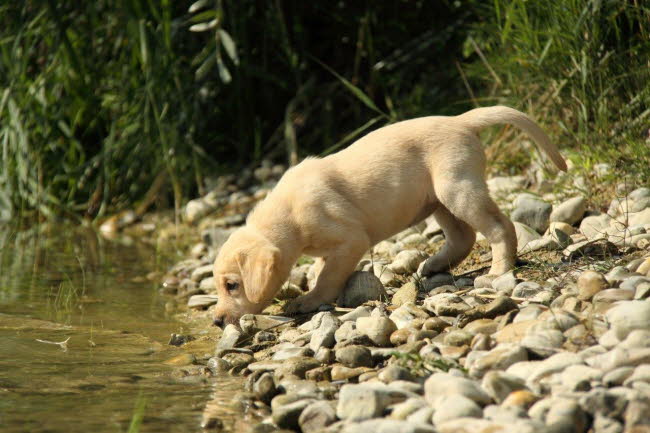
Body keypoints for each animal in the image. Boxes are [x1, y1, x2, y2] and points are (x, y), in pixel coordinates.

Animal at [210, 106, 564, 326]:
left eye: (232, 285)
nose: (216, 321)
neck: (287, 214)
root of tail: (461, 121)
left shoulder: (350, 240)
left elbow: (326, 278)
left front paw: (308, 301)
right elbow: (322, 270)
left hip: (457, 189)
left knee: (499, 227)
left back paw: (499, 269)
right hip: (440, 201)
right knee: (464, 237)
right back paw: (433, 266)